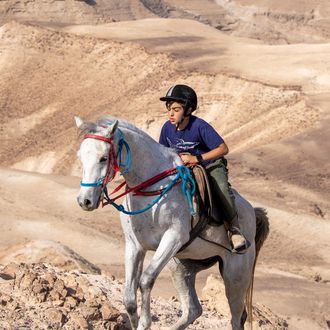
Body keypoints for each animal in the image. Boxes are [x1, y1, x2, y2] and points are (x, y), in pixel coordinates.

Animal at [75, 114, 270, 328]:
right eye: (80, 157)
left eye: (103, 158)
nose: (85, 201)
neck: (151, 186)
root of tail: (252, 211)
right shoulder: (134, 245)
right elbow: (129, 299)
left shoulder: (173, 238)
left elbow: (146, 280)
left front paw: (145, 322)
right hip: (181, 266)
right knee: (193, 310)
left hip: (235, 275)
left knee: (236, 318)